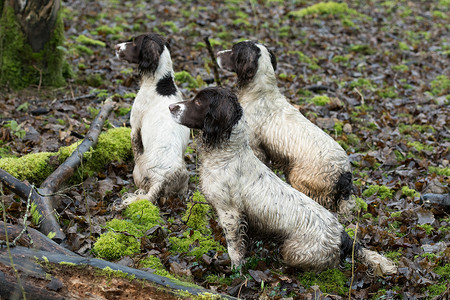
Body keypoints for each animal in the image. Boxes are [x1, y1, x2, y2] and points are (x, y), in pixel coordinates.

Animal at [115, 33, 189, 206]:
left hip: (138, 172)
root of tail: (160, 180)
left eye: (134, 42)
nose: (116, 47)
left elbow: (136, 150)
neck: (161, 83)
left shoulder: (134, 128)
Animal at [167, 86, 396, 274]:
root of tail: (343, 236)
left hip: (292, 250)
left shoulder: (230, 213)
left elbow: (234, 249)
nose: (170, 106)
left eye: (199, 102)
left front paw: (235, 270)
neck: (227, 155)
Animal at [218, 41, 356, 213]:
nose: (217, 54)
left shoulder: (256, 147)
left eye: (233, 50)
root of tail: (344, 172)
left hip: (300, 178)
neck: (260, 94)